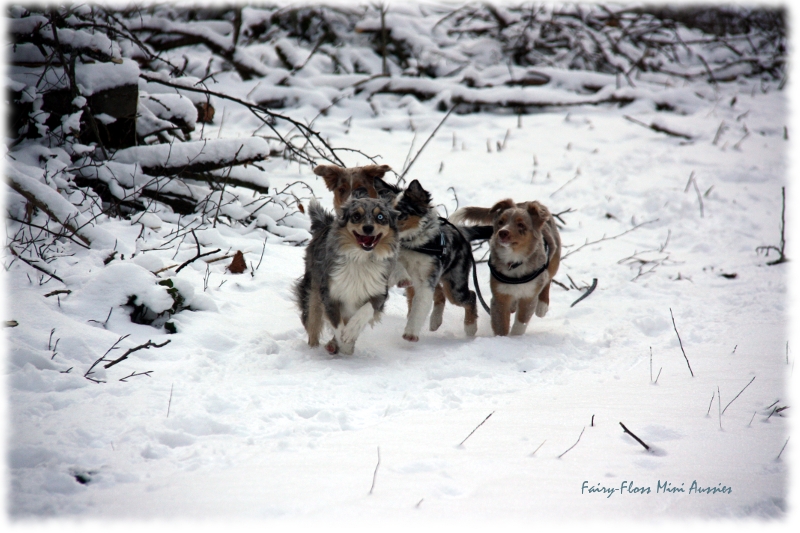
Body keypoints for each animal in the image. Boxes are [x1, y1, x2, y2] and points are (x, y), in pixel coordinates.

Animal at [294, 195, 400, 354]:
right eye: (356, 216)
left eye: (380, 216)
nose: (368, 228)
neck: (360, 258)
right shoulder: (329, 292)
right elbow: (336, 322)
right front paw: (344, 344)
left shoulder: (379, 291)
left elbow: (366, 309)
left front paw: (350, 335)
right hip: (312, 291)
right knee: (313, 322)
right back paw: (315, 349)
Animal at [390, 179, 478, 340]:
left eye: (400, 214)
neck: (414, 244)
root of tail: (462, 234)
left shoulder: (427, 279)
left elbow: (420, 306)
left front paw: (410, 333)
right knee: (441, 295)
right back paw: (435, 322)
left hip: (454, 284)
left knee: (471, 296)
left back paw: (470, 328)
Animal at [450, 200, 564, 336]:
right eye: (501, 222)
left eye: (521, 224)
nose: (503, 232)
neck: (514, 261)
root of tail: (530, 202)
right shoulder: (500, 295)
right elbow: (501, 323)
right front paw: (502, 338)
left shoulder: (529, 295)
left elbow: (521, 322)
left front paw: (514, 337)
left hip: (554, 258)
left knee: (548, 277)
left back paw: (542, 306)